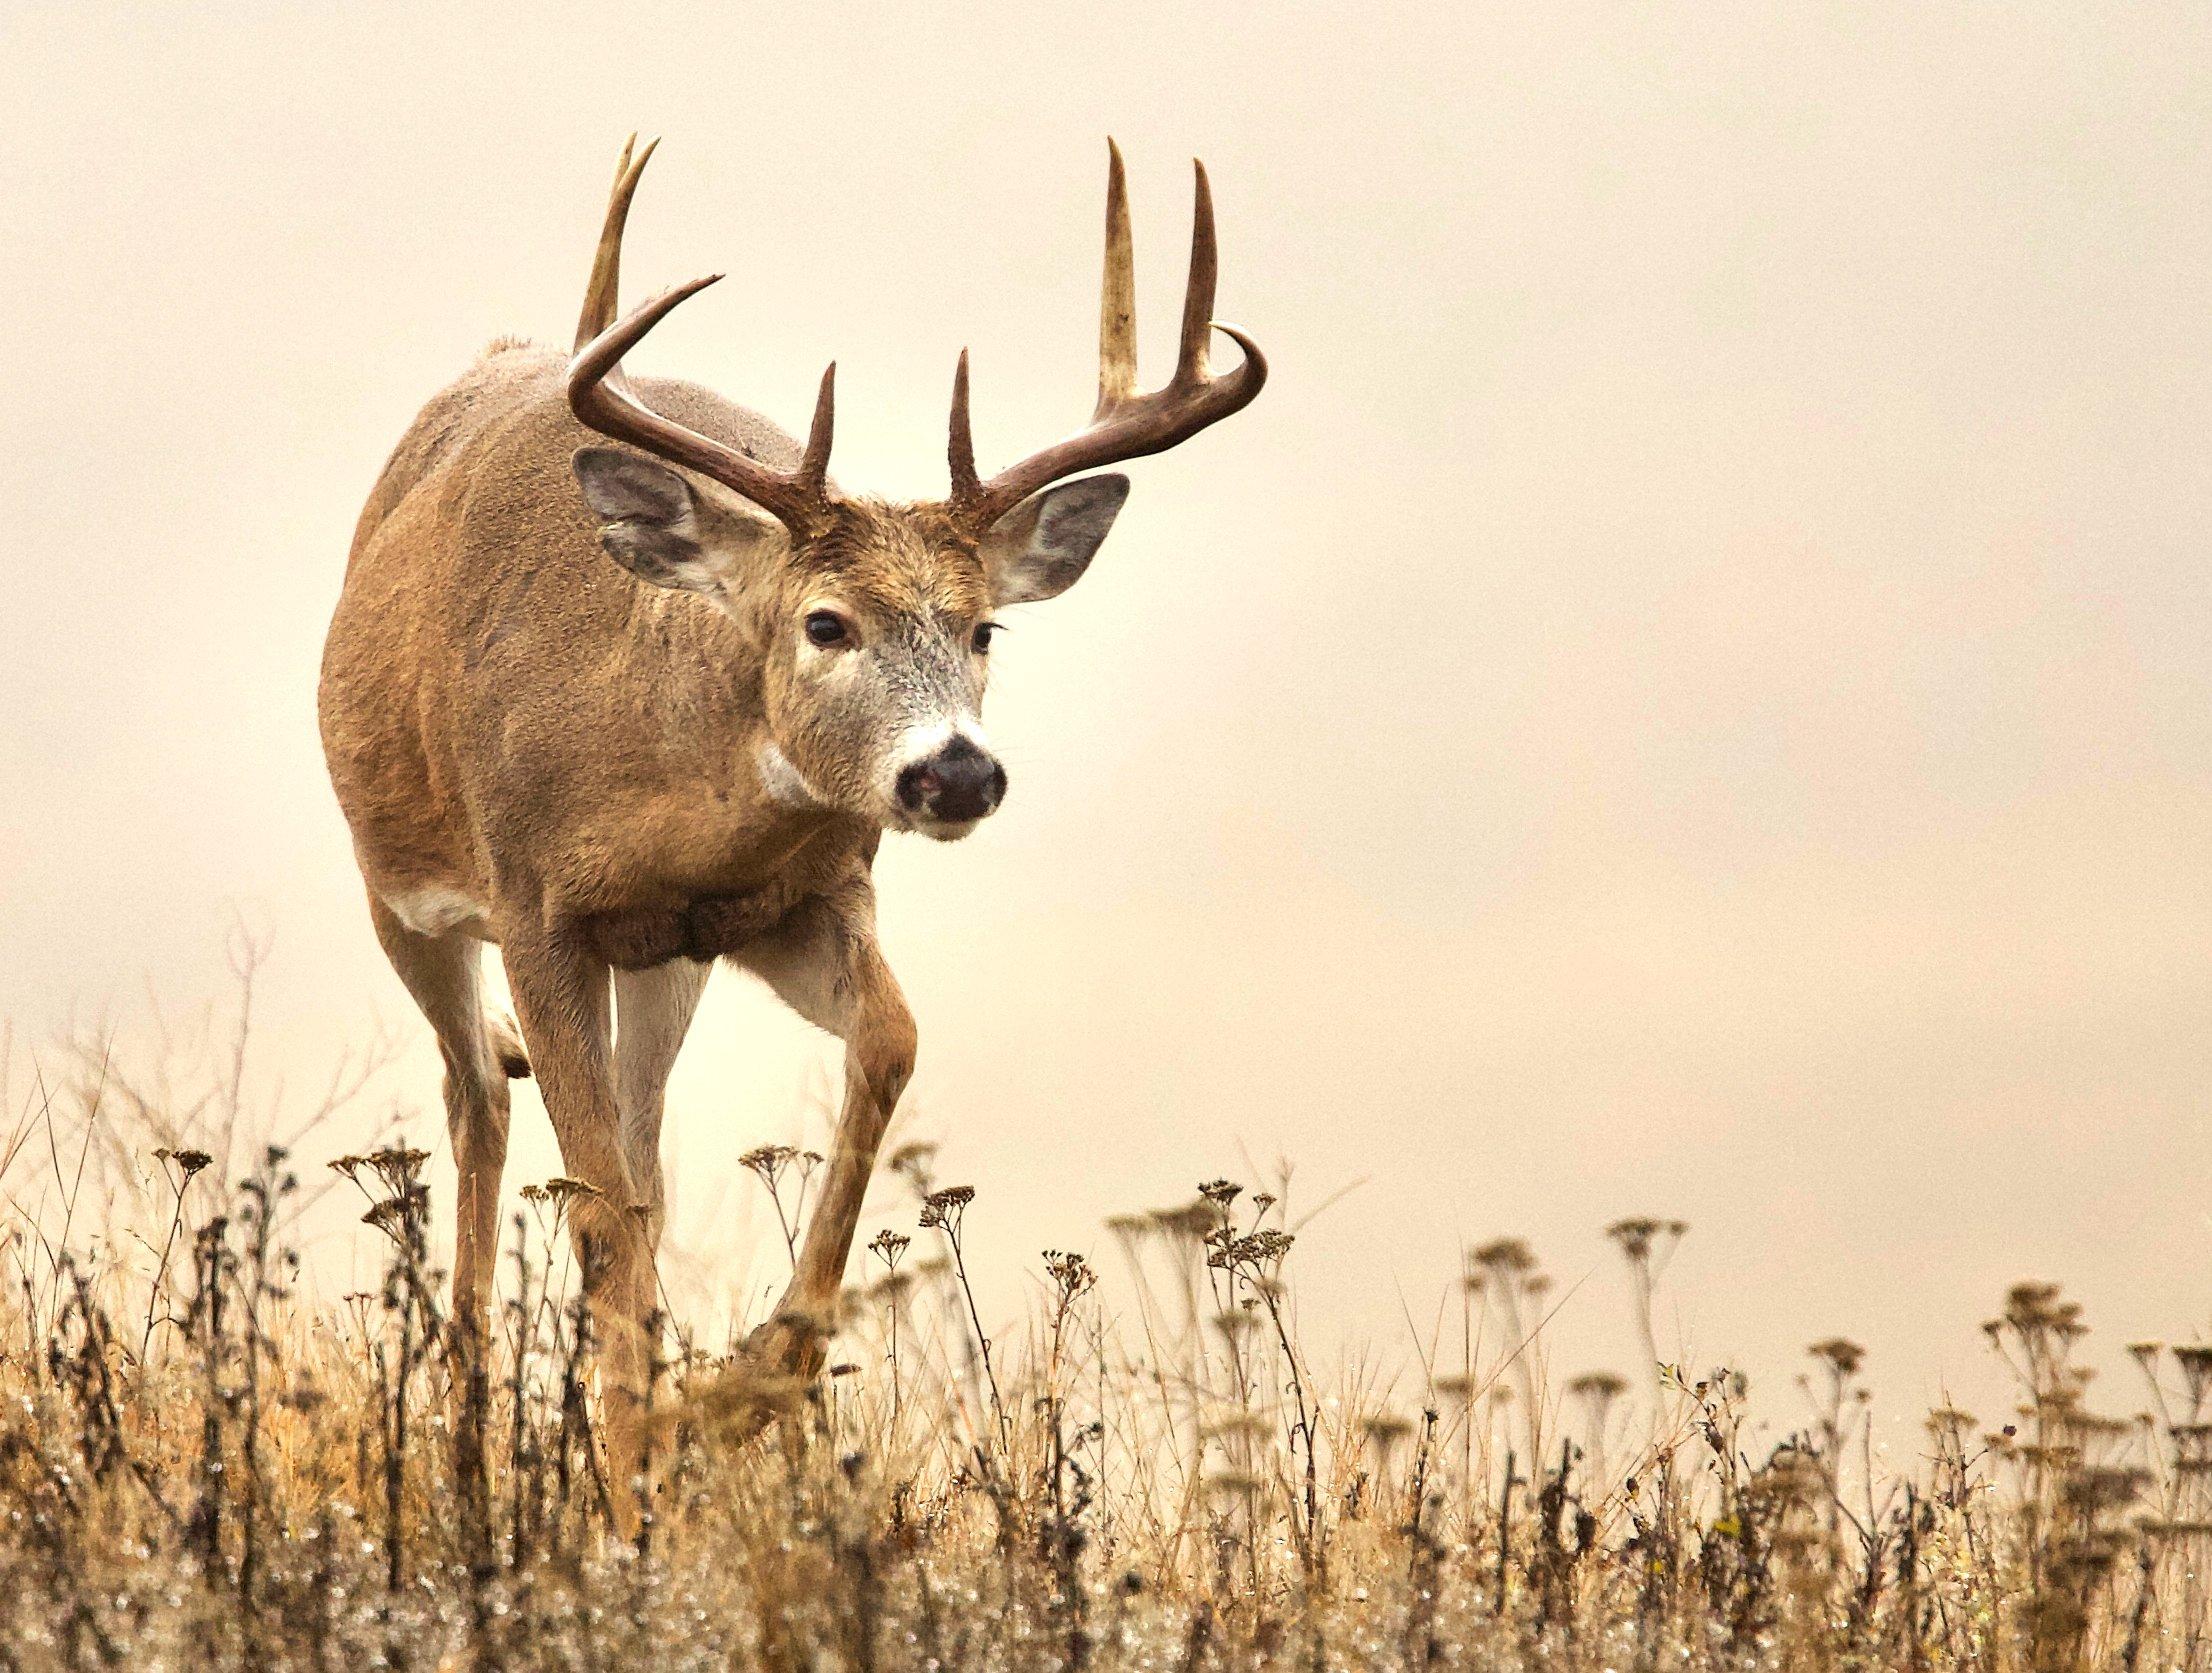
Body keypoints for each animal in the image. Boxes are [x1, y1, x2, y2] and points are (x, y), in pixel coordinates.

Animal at [320, 137, 1274, 1531]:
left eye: (984, 628)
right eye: (826, 622)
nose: (955, 771)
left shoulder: (792, 900)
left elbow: (887, 1043)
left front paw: (732, 1393)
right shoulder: (534, 904)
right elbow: (591, 1210)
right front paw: (630, 1478)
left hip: (664, 966)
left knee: (639, 1155)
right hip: (401, 891)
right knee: (478, 1102)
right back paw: (466, 1453)